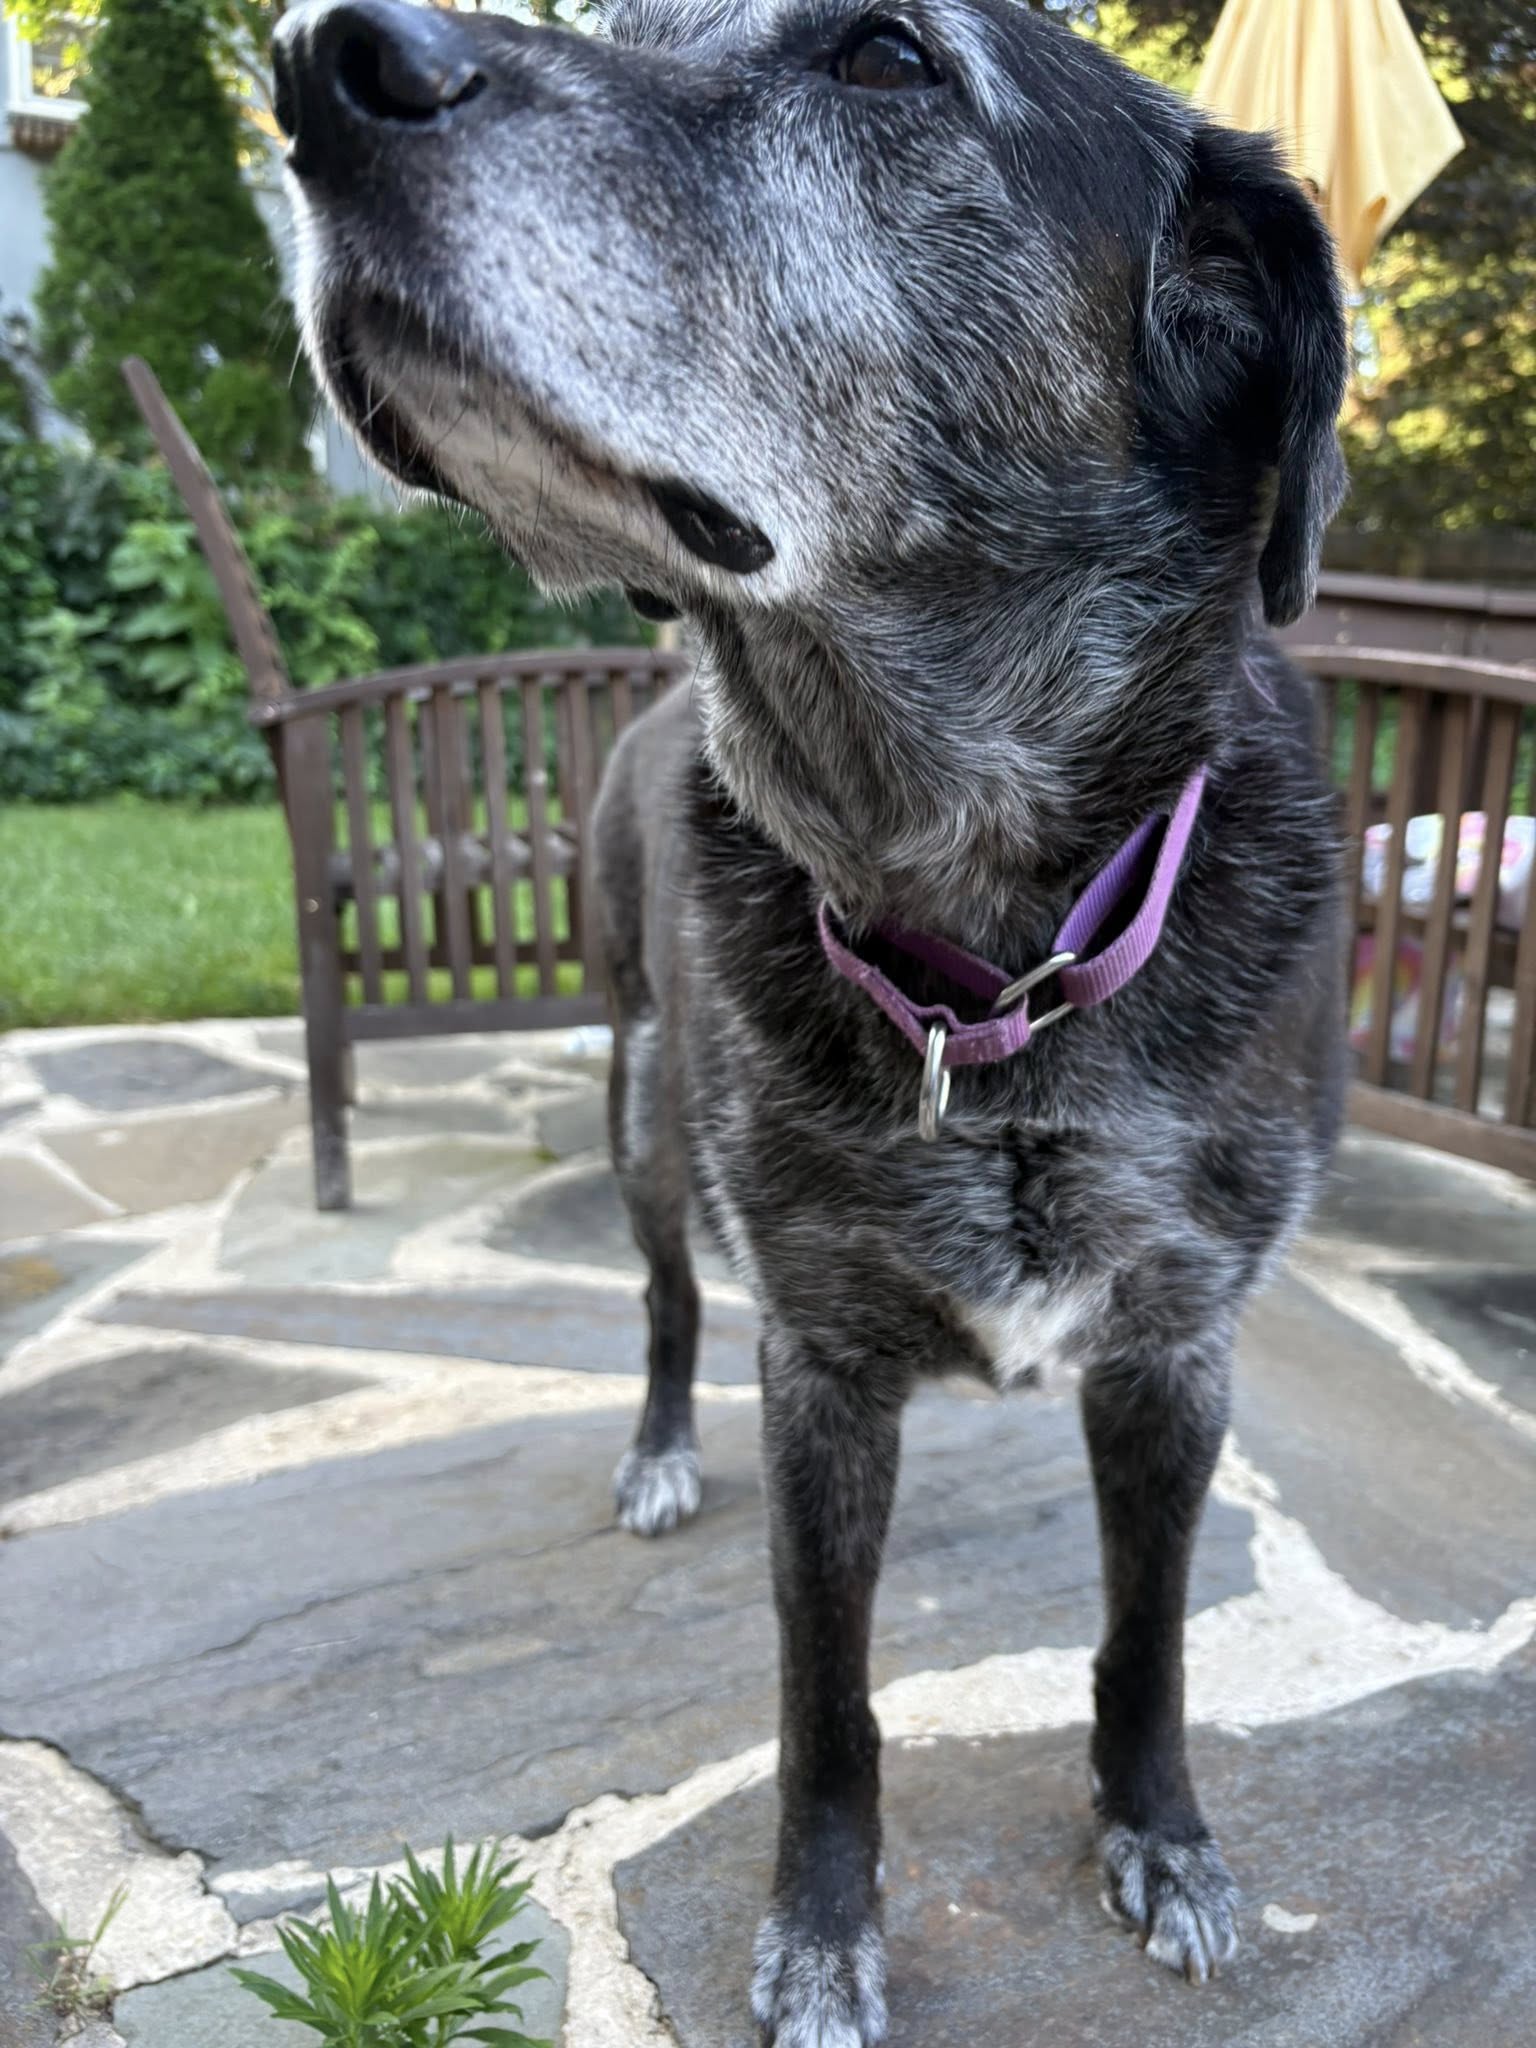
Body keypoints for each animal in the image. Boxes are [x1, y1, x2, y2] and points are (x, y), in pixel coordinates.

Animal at [273, 0, 1350, 2036]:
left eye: (888, 60)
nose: (311, 62)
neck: (989, 968)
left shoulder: (1179, 1347)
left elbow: (1152, 1632)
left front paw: (1162, 1836)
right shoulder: (823, 1368)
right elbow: (825, 1697)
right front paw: (825, 1932)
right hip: (640, 1114)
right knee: (665, 1307)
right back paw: (655, 1449)